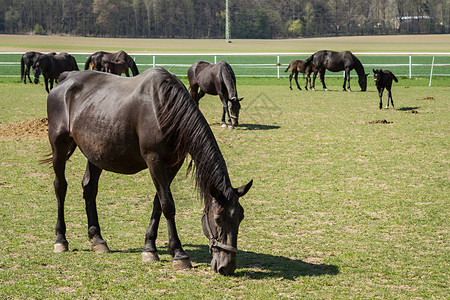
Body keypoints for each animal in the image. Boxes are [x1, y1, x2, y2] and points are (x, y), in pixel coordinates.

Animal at [44, 69, 253, 276]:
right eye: (218, 218)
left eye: (240, 217)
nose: (227, 266)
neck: (165, 108)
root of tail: (66, 78)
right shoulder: (154, 160)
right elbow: (168, 205)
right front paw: (179, 254)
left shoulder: (173, 164)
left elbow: (158, 203)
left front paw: (150, 248)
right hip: (59, 146)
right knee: (60, 187)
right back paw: (61, 239)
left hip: (96, 153)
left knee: (89, 189)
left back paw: (98, 239)